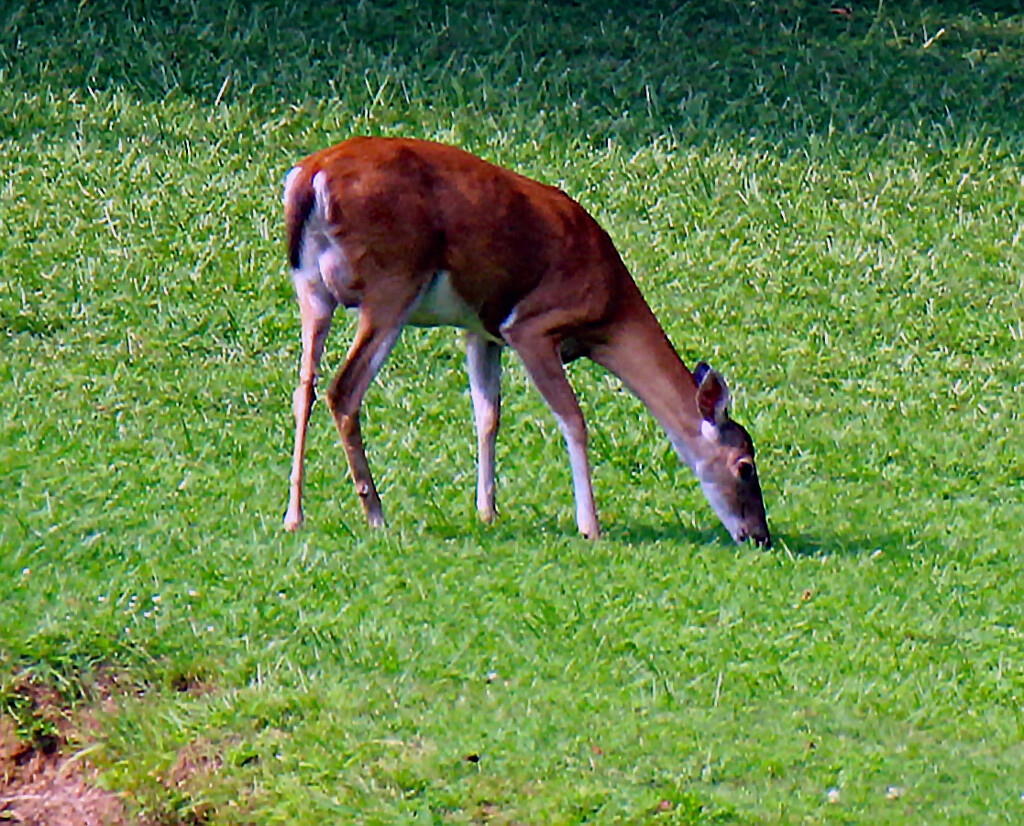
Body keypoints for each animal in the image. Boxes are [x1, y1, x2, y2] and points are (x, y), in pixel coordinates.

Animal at [280, 138, 770, 544]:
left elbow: (488, 416)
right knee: (343, 390)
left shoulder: (481, 332)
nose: (760, 536)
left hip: (311, 288)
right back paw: (375, 513)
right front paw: (590, 526)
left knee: (304, 389)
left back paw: (294, 516)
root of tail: (310, 177)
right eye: (745, 466)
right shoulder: (532, 326)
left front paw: (487, 511)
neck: (609, 310)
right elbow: (573, 418)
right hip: (392, 283)